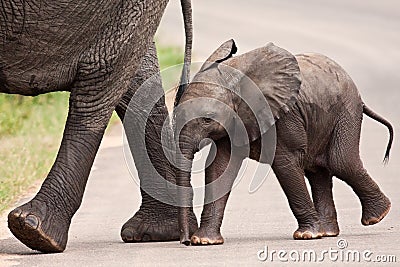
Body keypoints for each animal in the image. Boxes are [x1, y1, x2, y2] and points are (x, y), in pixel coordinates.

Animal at [173, 38, 392, 246]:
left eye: (207, 119)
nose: (185, 241)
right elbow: (220, 168)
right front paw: (204, 241)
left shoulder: (283, 116)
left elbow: (284, 163)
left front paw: (306, 235)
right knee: (318, 171)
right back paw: (329, 232)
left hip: (346, 111)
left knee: (340, 162)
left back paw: (377, 216)